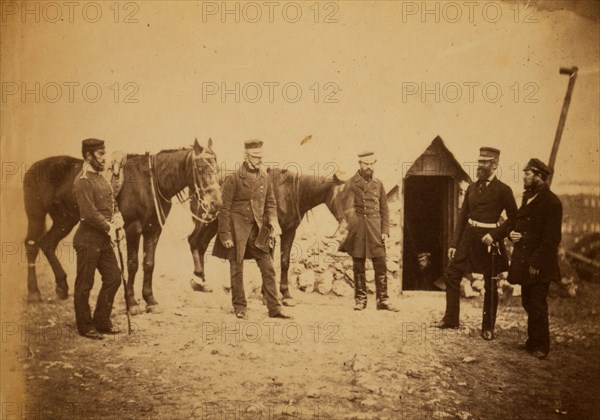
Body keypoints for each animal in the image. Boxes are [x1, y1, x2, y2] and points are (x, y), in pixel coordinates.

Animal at [22, 139, 223, 314]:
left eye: (217, 168)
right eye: (200, 168)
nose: (216, 203)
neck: (150, 182)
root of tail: (33, 167)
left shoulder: (153, 229)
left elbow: (149, 263)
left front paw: (150, 301)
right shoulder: (133, 228)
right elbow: (132, 264)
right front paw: (132, 303)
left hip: (64, 220)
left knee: (48, 244)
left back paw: (62, 286)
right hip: (36, 216)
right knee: (32, 245)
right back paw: (34, 292)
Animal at [188, 167, 346, 306]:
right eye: (342, 196)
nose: (346, 224)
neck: (291, 193)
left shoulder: (289, 232)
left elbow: (284, 262)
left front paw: (286, 295)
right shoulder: (269, 234)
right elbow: (268, 260)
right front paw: (266, 296)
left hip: (214, 225)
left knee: (201, 245)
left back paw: (203, 283)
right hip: (206, 221)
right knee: (194, 242)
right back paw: (198, 280)